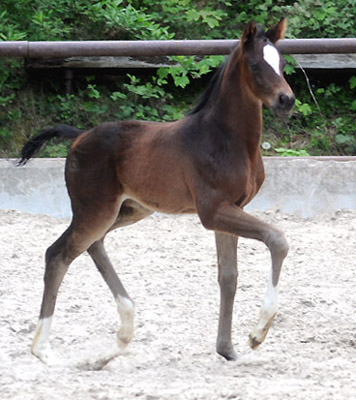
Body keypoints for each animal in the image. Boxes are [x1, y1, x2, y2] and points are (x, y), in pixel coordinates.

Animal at [19, 18, 294, 362]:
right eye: (255, 65)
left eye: (281, 64)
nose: (287, 100)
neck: (227, 139)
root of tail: (79, 136)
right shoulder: (213, 211)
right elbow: (277, 239)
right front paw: (257, 334)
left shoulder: (232, 209)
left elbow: (228, 277)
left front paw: (227, 349)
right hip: (95, 210)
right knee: (59, 253)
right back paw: (42, 348)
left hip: (129, 209)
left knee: (94, 245)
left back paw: (122, 334)